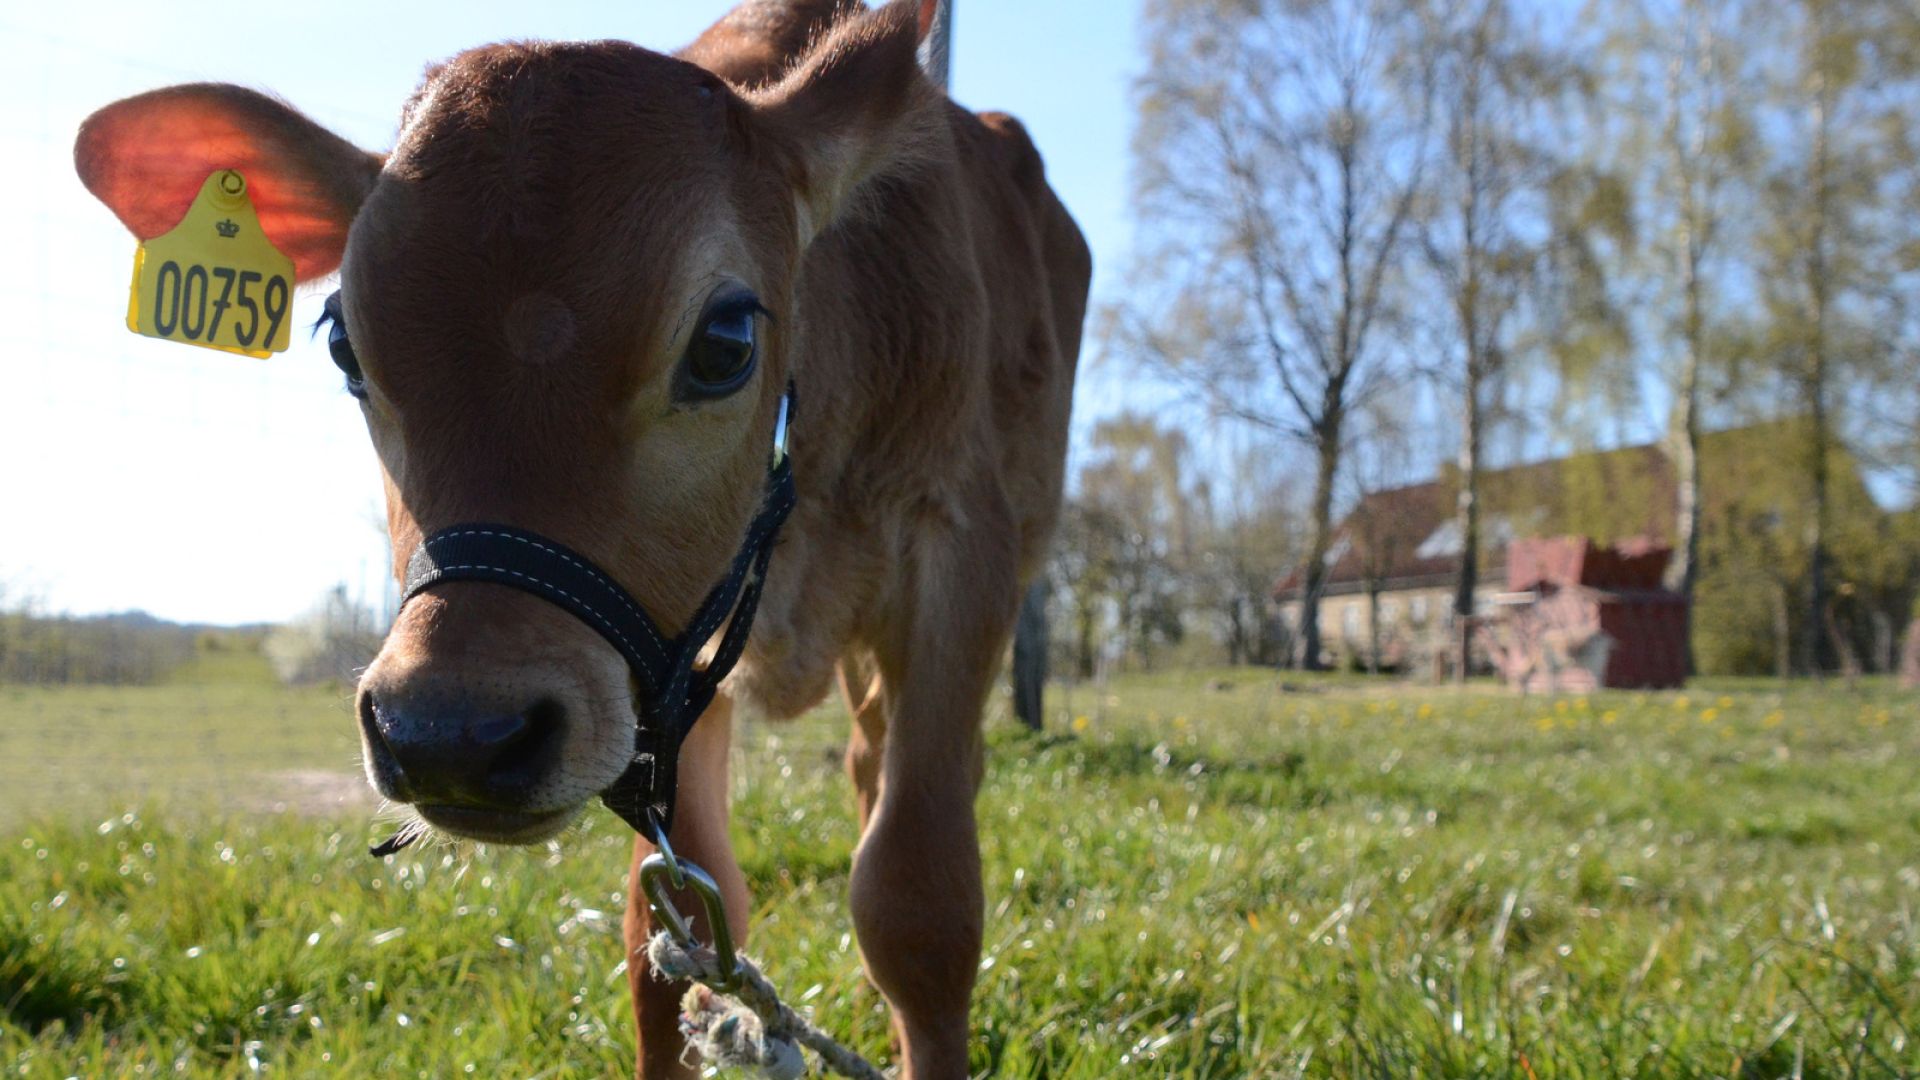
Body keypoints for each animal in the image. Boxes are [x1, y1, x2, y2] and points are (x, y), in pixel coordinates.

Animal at [74, 4, 1090, 1068]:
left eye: (727, 342)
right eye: (345, 343)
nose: (451, 732)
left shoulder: (961, 557)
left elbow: (919, 903)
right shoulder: (674, 661)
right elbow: (674, 931)